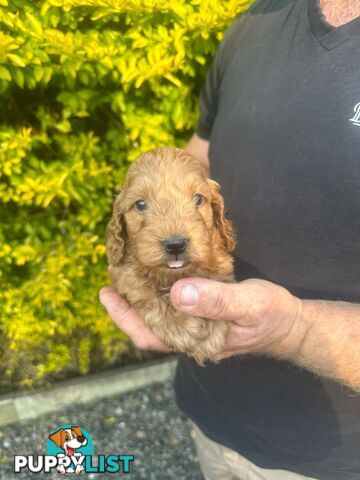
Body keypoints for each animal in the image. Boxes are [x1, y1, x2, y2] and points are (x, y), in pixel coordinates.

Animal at [106, 146, 236, 364]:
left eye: (198, 199)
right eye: (140, 204)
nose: (175, 245)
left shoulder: (222, 263)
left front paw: (214, 328)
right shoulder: (124, 274)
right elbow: (145, 294)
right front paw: (180, 325)